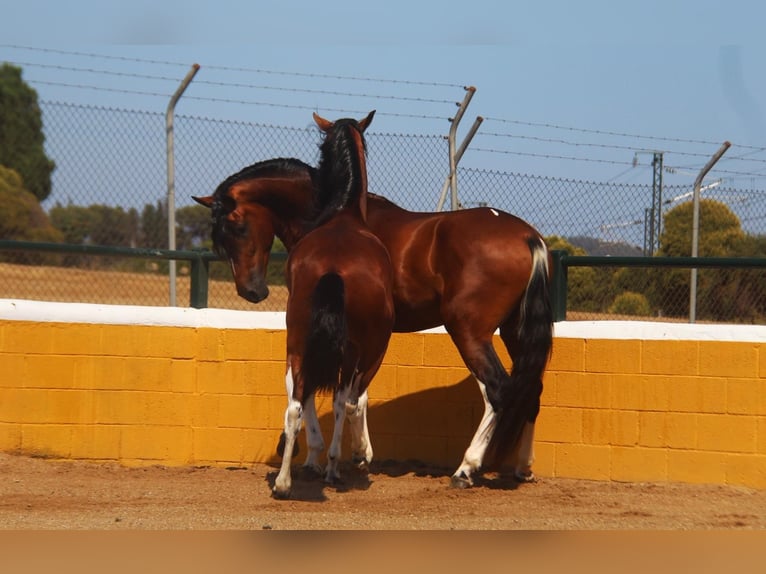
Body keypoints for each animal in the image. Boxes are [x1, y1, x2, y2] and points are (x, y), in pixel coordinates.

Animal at [198, 111, 396, 500]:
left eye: (237, 228)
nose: (250, 291)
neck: (343, 213)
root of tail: (334, 270)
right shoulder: (367, 351)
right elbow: (352, 400)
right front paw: (354, 454)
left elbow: (305, 400)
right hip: (361, 349)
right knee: (345, 401)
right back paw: (337, 464)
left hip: (298, 341)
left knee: (295, 405)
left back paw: (284, 483)